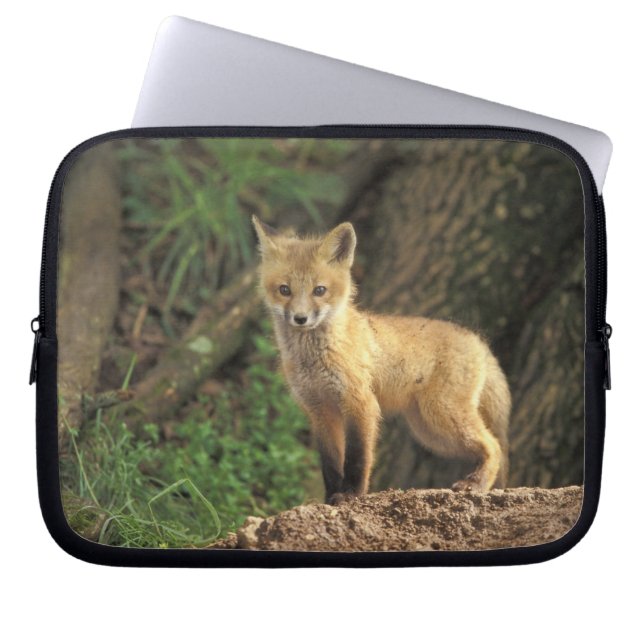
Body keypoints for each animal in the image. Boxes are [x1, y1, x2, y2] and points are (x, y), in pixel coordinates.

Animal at [251, 215, 511, 504]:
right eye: (284, 290)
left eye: (319, 290)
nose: (300, 318)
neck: (315, 359)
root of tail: (477, 339)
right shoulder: (320, 411)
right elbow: (330, 463)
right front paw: (330, 498)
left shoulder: (361, 403)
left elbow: (357, 458)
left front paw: (351, 494)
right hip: (431, 432)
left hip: (442, 416)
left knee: (495, 446)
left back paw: (477, 484)